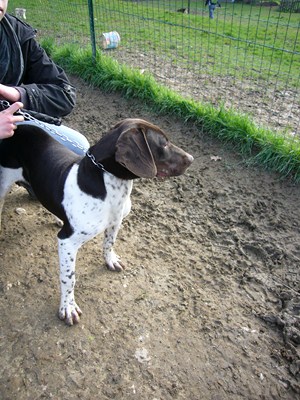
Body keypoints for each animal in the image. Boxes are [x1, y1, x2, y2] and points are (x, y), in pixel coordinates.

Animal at [0, 118, 193, 324]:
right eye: (163, 144)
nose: (191, 159)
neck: (111, 183)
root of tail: (18, 125)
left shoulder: (115, 222)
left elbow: (109, 244)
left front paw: (110, 260)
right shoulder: (67, 242)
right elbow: (69, 278)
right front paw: (68, 307)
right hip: (3, 184)